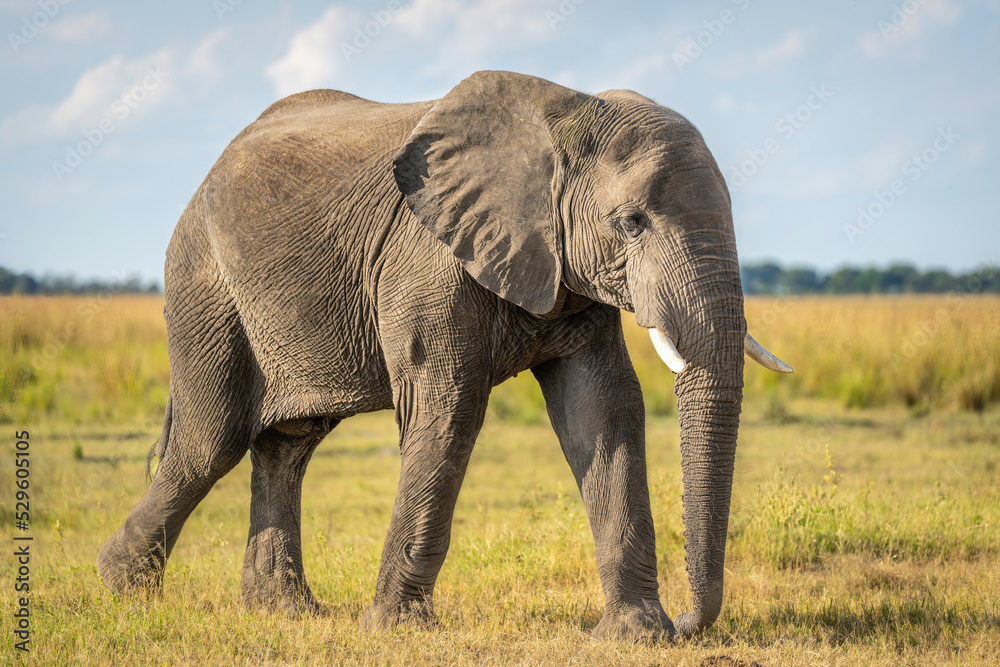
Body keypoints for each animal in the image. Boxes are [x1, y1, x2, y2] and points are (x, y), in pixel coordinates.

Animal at [97, 70, 792, 640]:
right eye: (630, 223)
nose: (690, 622)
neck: (569, 114)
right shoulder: (427, 263)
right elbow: (449, 410)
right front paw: (392, 630)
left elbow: (603, 409)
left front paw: (637, 637)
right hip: (204, 281)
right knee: (209, 443)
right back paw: (122, 589)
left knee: (288, 444)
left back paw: (285, 613)